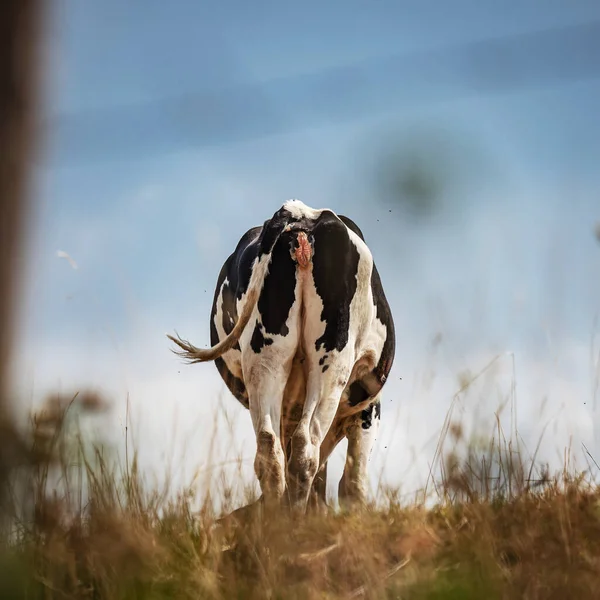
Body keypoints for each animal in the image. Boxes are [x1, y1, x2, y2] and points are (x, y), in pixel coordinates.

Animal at [168, 200, 394, 510]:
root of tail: (301, 213)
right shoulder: (368, 407)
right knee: (306, 450)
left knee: (270, 451)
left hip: (265, 358)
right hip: (332, 360)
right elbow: (353, 483)